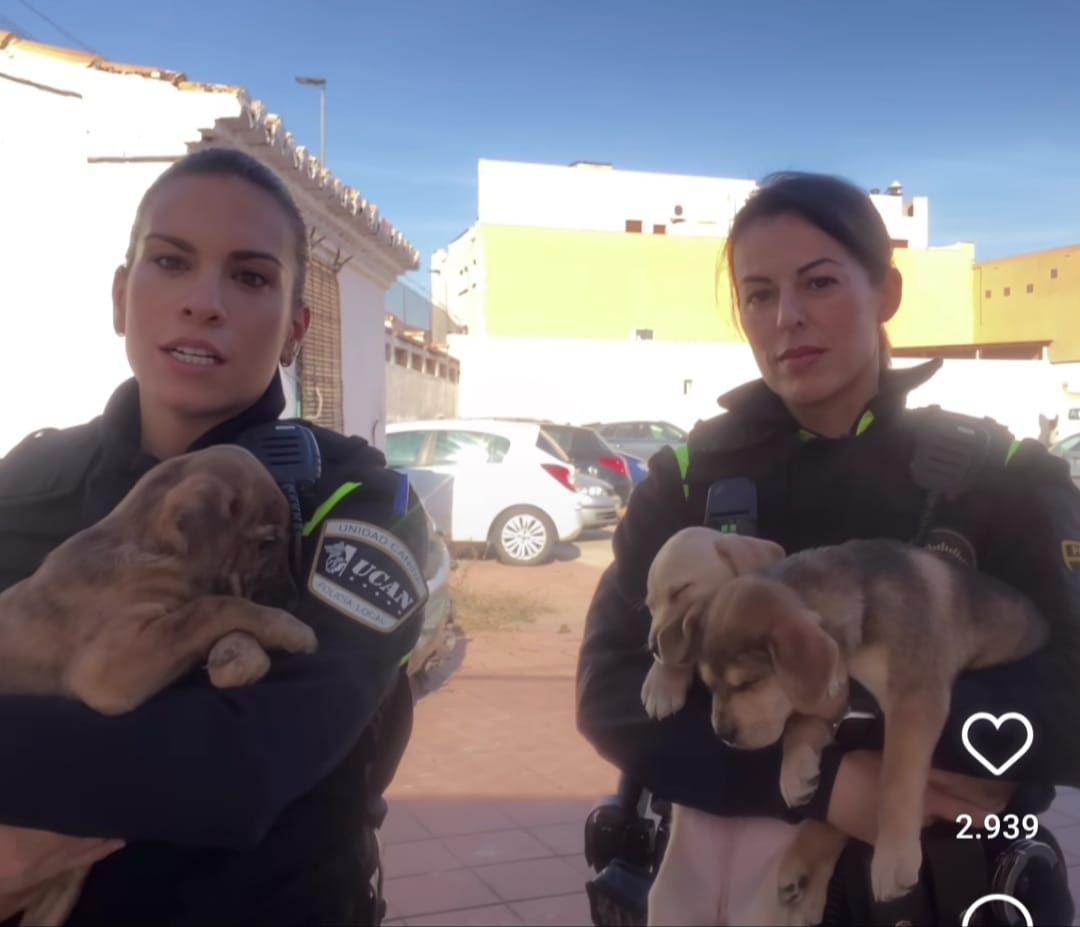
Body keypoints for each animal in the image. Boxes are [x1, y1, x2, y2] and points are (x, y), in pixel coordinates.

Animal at [0, 445, 317, 920]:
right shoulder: (114, 663)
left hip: (61, 892)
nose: (296, 601)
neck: (148, 546)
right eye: (266, 542)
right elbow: (215, 606)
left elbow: (215, 611)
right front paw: (289, 629)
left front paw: (238, 656)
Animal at [639, 522, 1045, 920]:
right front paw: (796, 772)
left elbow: (897, 780)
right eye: (709, 686)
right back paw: (800, 868)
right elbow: (803, 723)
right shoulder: (835, 691)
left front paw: (893, 860)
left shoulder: (915, 697)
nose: (723, 734)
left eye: (749, 683)